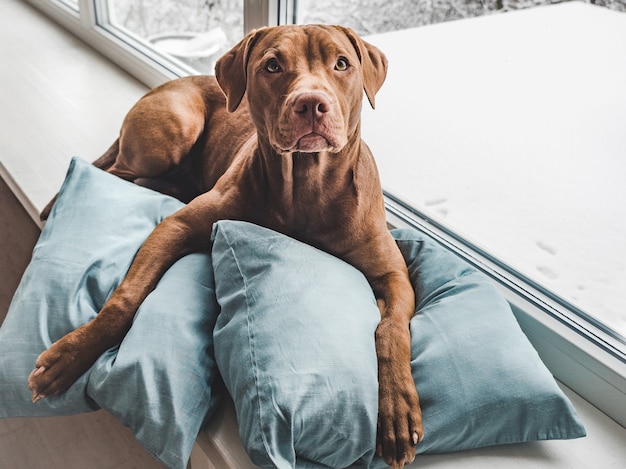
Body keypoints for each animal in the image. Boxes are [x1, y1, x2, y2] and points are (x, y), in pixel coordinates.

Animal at [29, 24, 422, 464]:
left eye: (342, 64)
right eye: (273, 65)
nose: (311, 104)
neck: (306, 185)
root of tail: (170, 82)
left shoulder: (394, 275)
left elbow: (392, 331)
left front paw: (397, 410)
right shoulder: (177, 227)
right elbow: (124, 300)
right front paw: (71, 355)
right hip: (175, 130)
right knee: (116, 172)